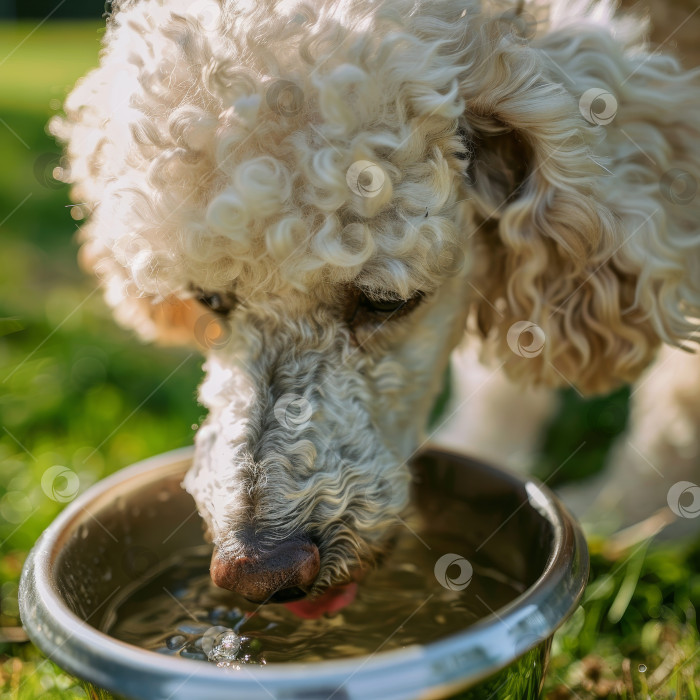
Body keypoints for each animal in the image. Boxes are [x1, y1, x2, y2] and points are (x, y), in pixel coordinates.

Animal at [53, 0, 700, 600]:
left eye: (386, 303)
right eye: (209, 298)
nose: (258, 571)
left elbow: (680, 398)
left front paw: (639, 514)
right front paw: (492, 450)